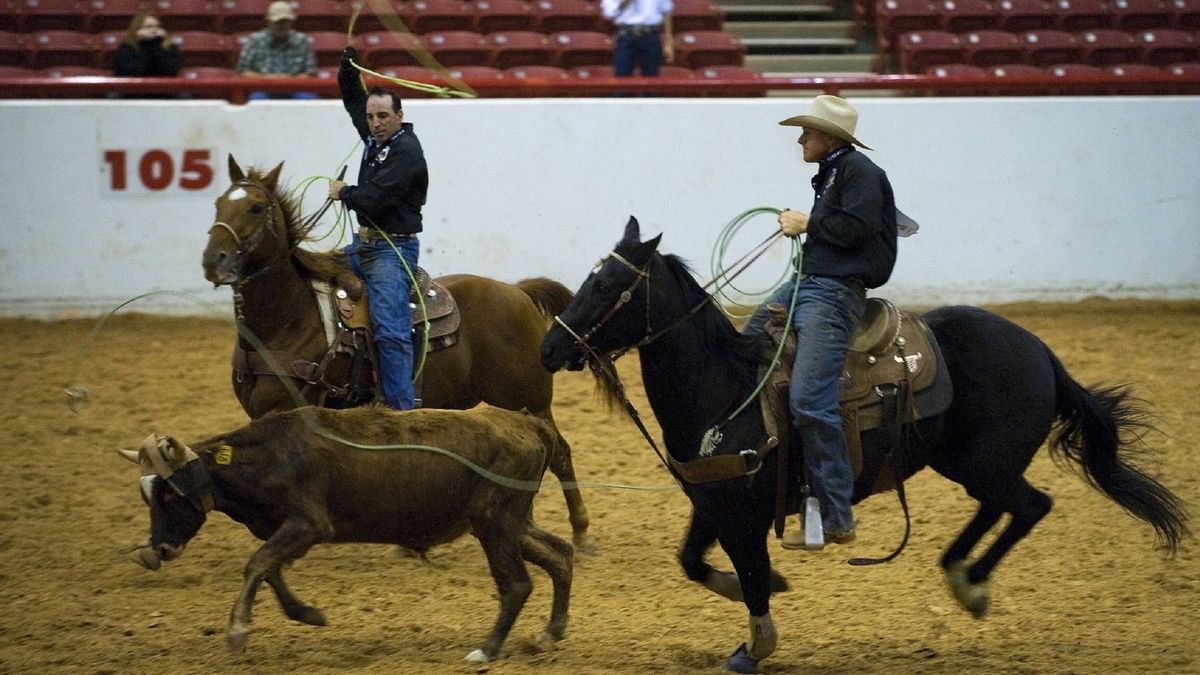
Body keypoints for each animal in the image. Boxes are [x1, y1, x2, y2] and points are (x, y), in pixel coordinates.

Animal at [202, 154, 595, 550]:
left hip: (530, 398)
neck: (291, 317)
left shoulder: (285, 410)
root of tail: (518, 291)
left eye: (255, 207)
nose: (213, 260)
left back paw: (580, 529)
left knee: (560, 453)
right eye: (218, 204)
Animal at [542, 218, 1190, 667]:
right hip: (968, 463)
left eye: (609, 285)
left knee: (1031, 505)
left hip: (985, 464)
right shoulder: (713, 501)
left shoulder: (744, 514)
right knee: (1003, 507)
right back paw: (960, 573)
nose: (551, 347)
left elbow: (749, 575)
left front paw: (757, 645)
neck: (725, 388)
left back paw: (971, 583)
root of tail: (1043, 352)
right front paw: (769, 590)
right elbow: (694, 563)